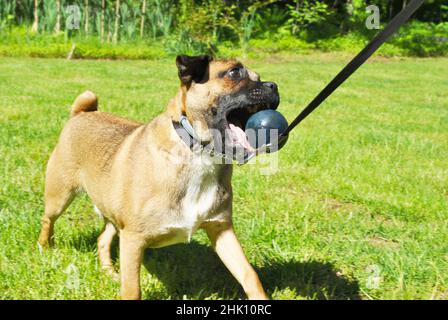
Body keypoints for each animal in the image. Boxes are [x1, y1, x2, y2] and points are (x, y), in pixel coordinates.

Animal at [39, 55, 280, 300]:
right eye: (234, 73)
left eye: (258, 77)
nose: (273, 86)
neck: (196, 151)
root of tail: (82, 113)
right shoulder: (133, 239)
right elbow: (132, 289)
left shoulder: (221, 230)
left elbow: (248, 274)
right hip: (60, 195)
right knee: (48, 220)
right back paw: (45, 248)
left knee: (103, 239)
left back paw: (109, 272)